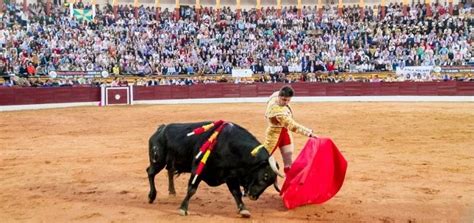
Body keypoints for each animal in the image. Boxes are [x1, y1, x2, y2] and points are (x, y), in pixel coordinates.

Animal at [146, 122, 284, 218]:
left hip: (169, 162)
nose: (253, 196)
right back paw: (151, 196)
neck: (229, 146)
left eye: (270, 183)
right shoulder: (198, 169)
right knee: (150, 172)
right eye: (265, 176)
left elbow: (236, 193)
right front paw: (183, 209)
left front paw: (243, 210)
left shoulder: (231, 175)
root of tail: (160, 129)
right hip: (158, 160)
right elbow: (191, 189)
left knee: (169, 171)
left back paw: (172, 192)